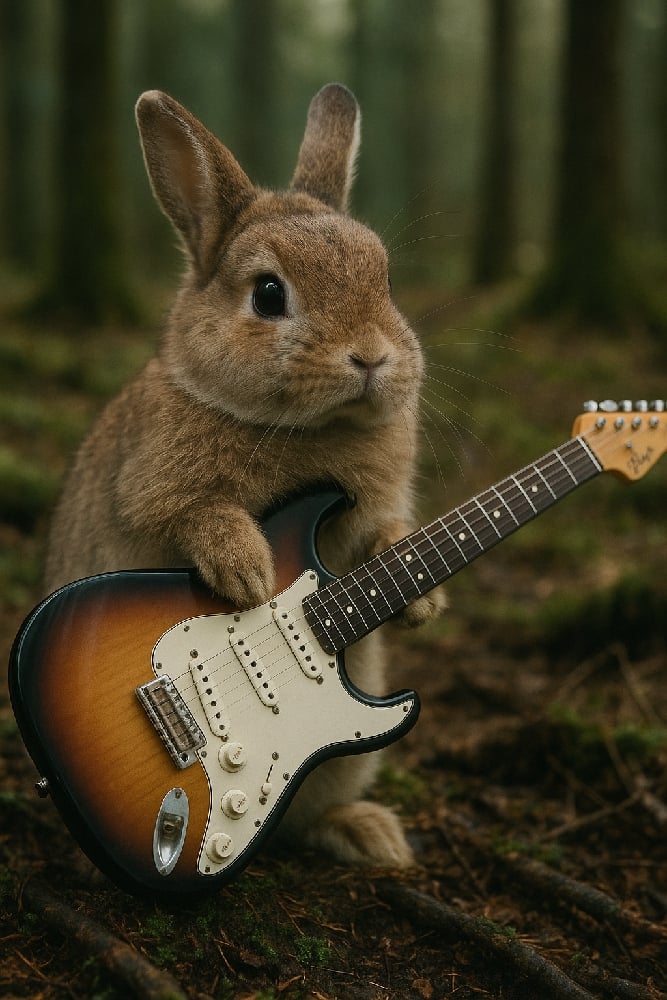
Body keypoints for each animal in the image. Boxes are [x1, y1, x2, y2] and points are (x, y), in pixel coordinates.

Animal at [44, 83, 446, 870]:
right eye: (267, 294)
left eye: (384, 280)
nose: (372, 357)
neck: (308, 428)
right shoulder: (150, 494)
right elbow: (195, 514)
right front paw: (248, 572)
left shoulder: (372, 514)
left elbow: (385, 535)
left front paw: (421, 601)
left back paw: (372, 836)